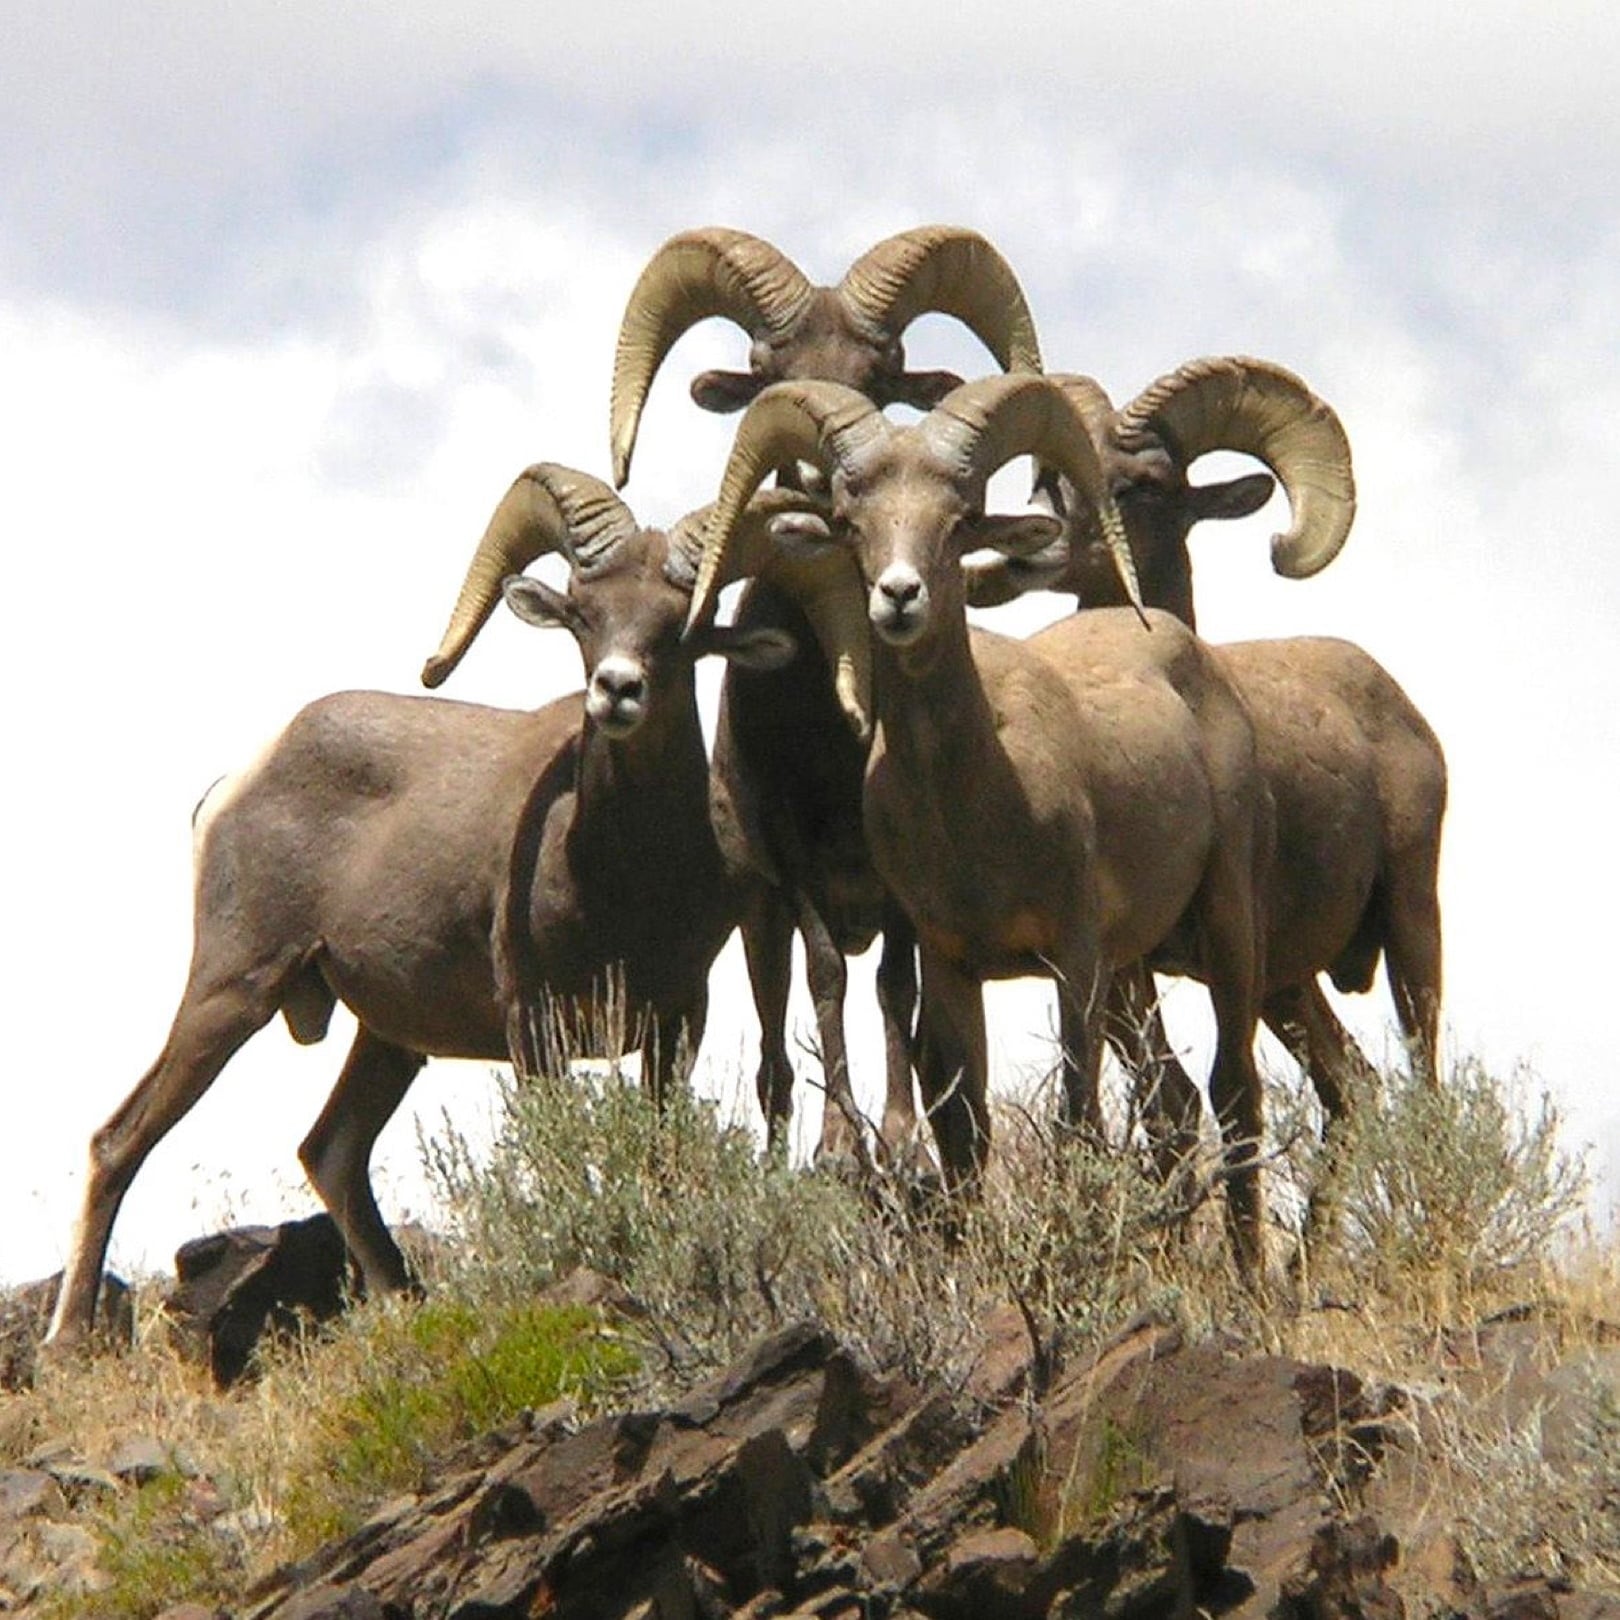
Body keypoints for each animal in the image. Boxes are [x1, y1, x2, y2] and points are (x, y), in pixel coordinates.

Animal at [44, 467, 831, 1349]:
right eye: (582, 615)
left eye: (684, 627)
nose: (616, 690)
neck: (625, 880)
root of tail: (236, 784)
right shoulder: (534, 1030)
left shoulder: (674, 1023)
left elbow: (658, 1161)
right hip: (232, 992)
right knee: (121, 1140)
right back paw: (69, 1341)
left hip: (386, 1041)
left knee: (331, 1152)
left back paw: (407, 1303)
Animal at [609, 224, 1043, 1164]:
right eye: (766, 368)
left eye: (883, 371)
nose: (820, 477)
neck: (825, 732)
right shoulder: (792, 860)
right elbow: (830, 978)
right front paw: (842, 1149)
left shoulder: (901, 879)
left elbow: (892, 990)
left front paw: (902, 1145)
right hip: (755, 919)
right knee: (776, 1056)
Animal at [690, 373, 1277, 1270]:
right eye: (852, 523)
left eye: (961, 518)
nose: (899, 597)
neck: (977, 802)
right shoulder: (951, 965)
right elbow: (967, 1138)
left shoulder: (1075, 957)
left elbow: (1078, 1123)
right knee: (1175, 1100)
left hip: (1224, 918)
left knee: (1234, 1091)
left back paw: (1250, 1277)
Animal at [962, 362, 1445, 1161]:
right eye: (1046, 477)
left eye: (1144, 486)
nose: (1027, 553)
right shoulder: (1123, 967)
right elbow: (1163, 1102)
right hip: (1290, 984)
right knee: (1351, 1087)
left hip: (1408, 922)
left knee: (1423, 1085)